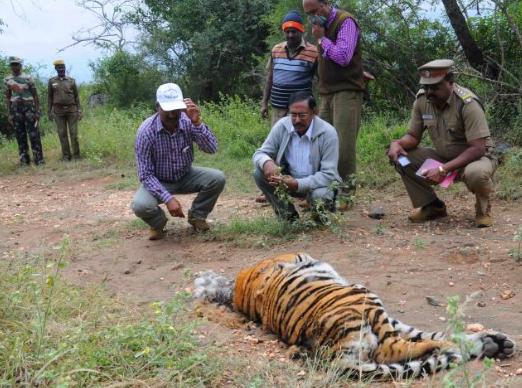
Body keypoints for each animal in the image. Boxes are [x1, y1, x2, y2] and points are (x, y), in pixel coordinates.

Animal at [193, 252, 512, 378]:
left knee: (418, 341)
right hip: (364, 298)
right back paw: (470, 347)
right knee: (396, 348)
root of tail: (329, 353)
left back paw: (488, 344)